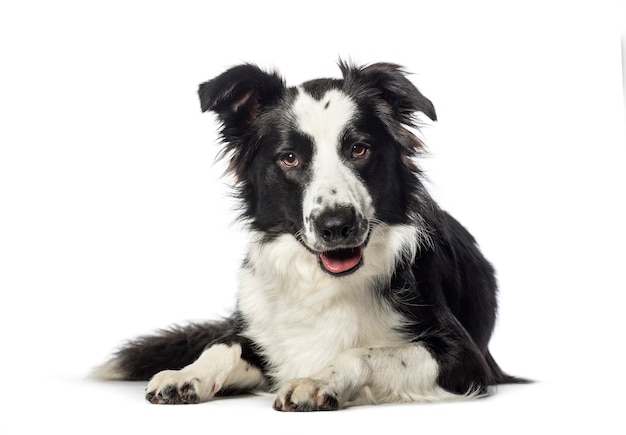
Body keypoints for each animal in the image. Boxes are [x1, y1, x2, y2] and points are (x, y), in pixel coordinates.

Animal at [94, 61, 520, 412]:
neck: (323, 282)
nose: (336, 225)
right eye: (289, 158)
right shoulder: (259, 334)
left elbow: (366, 351)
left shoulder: (465, 358)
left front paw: (317, 379)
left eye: (359, 149)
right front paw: (185, 374)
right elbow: (224, 344)